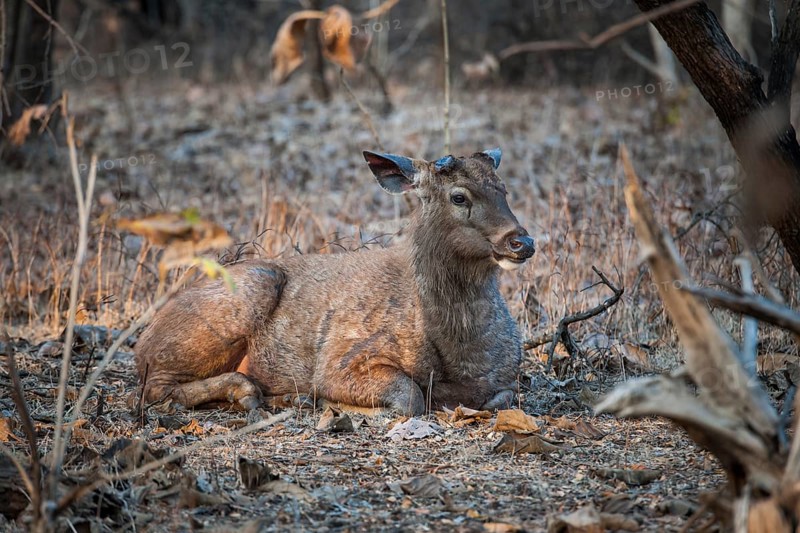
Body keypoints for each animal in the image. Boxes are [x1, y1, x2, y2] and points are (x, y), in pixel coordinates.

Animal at [134, 148, 536, 416]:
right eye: (459, 196)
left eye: (504, 189)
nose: (522, 241)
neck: (460, 354)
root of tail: (143, 340)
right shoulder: (341, 358)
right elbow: (409, 398)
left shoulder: (506, 377)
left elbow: (502, 398)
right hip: (245, 294)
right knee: (154, 389)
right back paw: (248, 392)